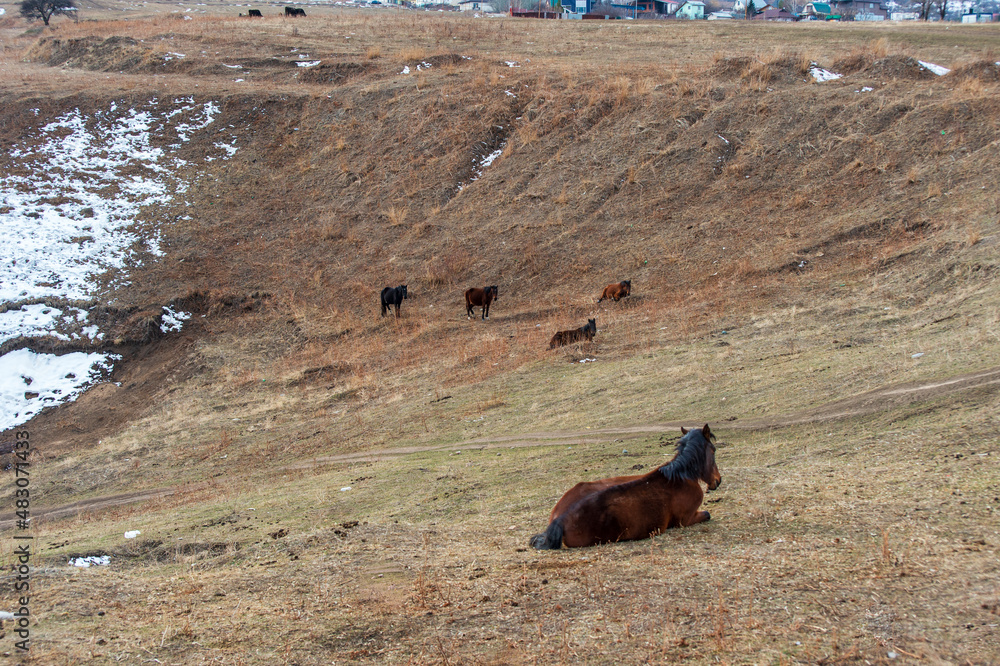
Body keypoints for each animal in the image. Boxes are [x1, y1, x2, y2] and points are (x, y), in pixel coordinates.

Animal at [530, 424, 721, 549]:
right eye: (713, 450)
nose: (717, 481)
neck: (680, 476)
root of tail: (560, 520)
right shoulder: (686, 520)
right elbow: (707, 514)